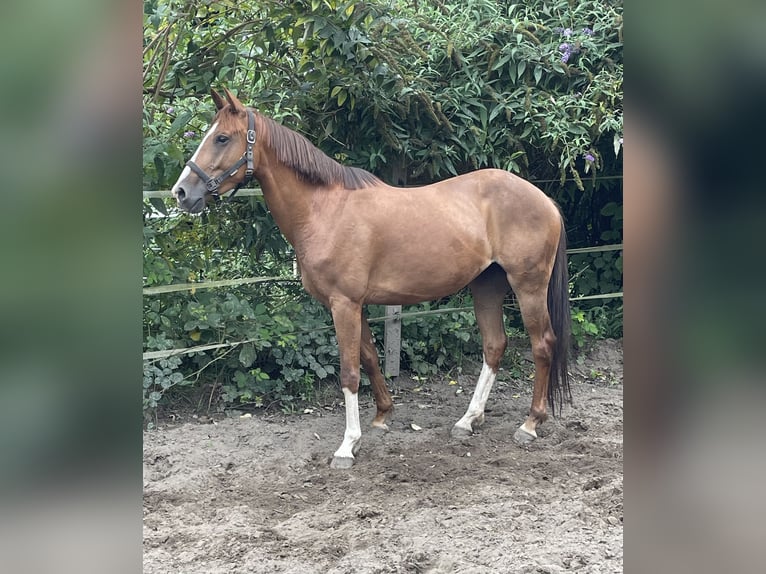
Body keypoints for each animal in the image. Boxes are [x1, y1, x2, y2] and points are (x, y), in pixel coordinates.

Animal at [174, 89, 568, 468]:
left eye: (222, 138)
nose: (181, 192)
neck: (324, 211)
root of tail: (545, 199)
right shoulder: (356, 305)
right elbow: (369, 358)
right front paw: (381, 417)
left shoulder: (343, 304)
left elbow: (349, 372)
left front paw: (347, 446)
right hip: (486, 285)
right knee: (494, 346)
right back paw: (468, 420)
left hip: (528, 286)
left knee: (542, 344)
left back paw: (530, 424)